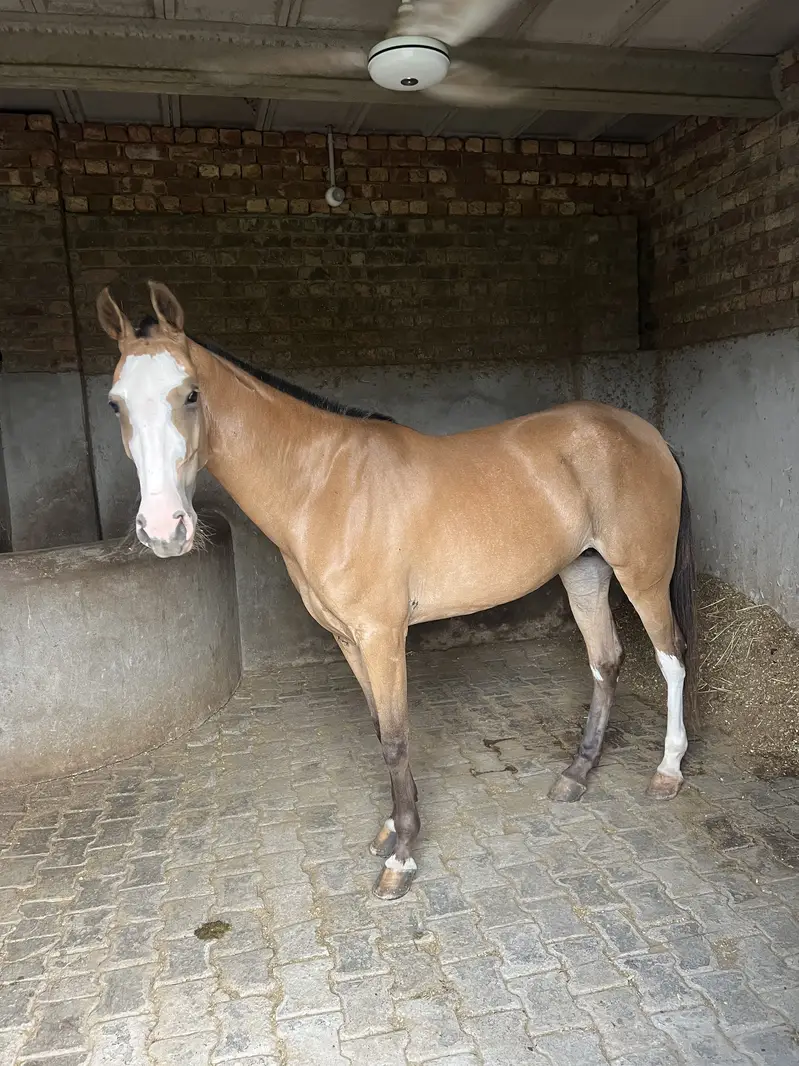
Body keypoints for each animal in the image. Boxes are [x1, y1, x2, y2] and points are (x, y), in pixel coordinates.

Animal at [97, 281, 696, 901]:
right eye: (116, 403)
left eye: (190, 394)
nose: (163, 529)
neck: (324, 485)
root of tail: (647, 434)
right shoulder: (348, 639)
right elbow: (377, 726)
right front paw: (391, 826)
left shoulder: (382, 634)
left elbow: (395, 737)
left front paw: (402, 855)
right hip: (585, 571)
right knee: (606, 660)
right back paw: (576, 774)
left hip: (642, 573)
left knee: (671, 656)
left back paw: (668, 770)